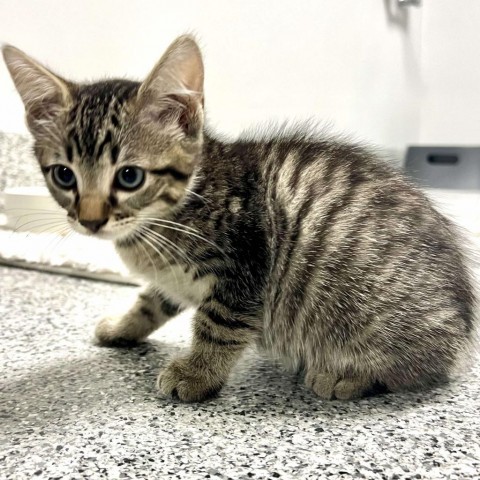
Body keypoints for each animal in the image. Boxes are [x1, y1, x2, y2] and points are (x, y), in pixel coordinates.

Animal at [2, 35, 476, 402]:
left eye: (130, 176)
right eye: (64, 175)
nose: (90, 220)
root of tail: (462, 329)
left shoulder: (247, 263)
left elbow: (218, 323)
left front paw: (196, 374)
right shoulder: (175, 277)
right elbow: (151, 300)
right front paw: (122, 327)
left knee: (420, 371)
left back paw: (347, 376)